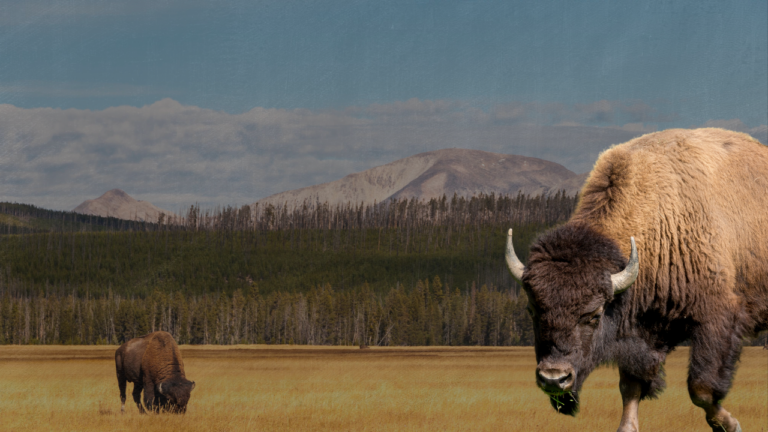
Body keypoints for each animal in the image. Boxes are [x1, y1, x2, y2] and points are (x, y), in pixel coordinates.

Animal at [506, 128, 767, 432]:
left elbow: (701, 388)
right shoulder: (639, 334)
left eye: (594, 315)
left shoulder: (716, 320)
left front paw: (730, 424)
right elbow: (630, 387)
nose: (554, 378)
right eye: (532, 310)